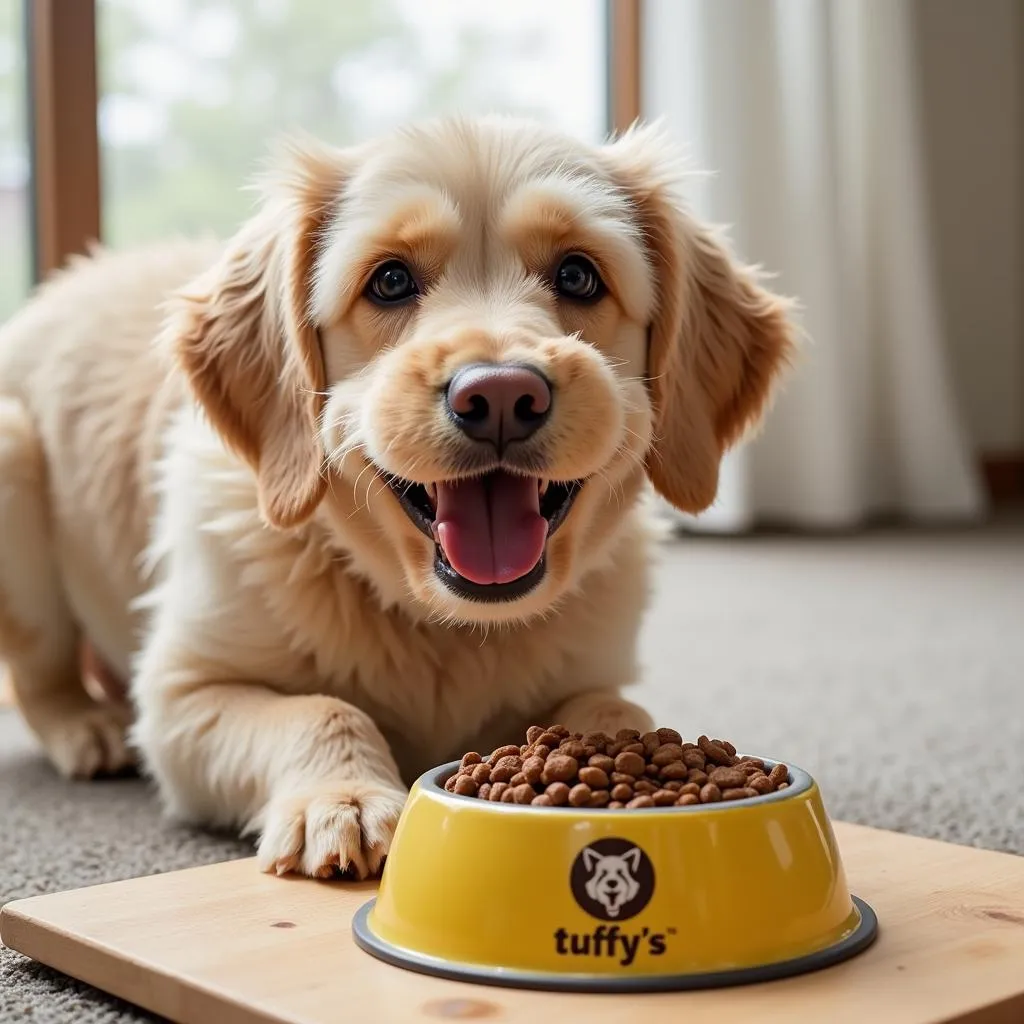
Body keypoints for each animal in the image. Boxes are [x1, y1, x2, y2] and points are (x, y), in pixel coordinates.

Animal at [0, 114, 790, 880]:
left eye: (577, 274)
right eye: (388, 281)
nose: (500, 396)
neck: (443, 625)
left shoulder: (597, 666)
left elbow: (613, 705)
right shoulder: (180, 698)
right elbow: (321, 709)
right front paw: (344, 798)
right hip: (15, 464)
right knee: (42, 675)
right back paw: (86, 727)